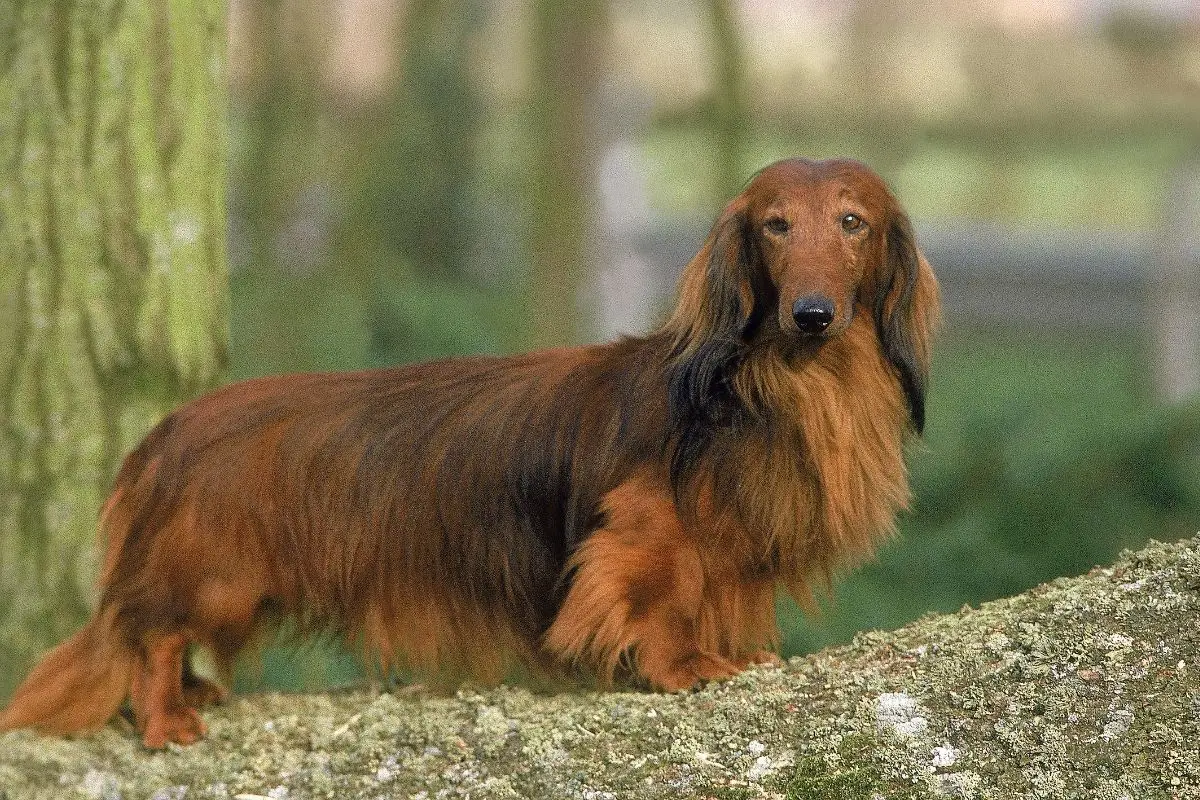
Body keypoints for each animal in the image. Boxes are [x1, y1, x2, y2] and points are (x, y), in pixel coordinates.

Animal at [0, 158, 936, 753]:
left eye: (852, 223)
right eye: (777, 226)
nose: (812, 313)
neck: (788, 386)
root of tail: (166, 435)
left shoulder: (735, 551)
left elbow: (717, 599)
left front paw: (731, 655)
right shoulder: (647, 530)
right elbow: (658, 598)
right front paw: (682, 669)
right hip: (215, 575)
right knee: (152, 637)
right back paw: (167, 718)